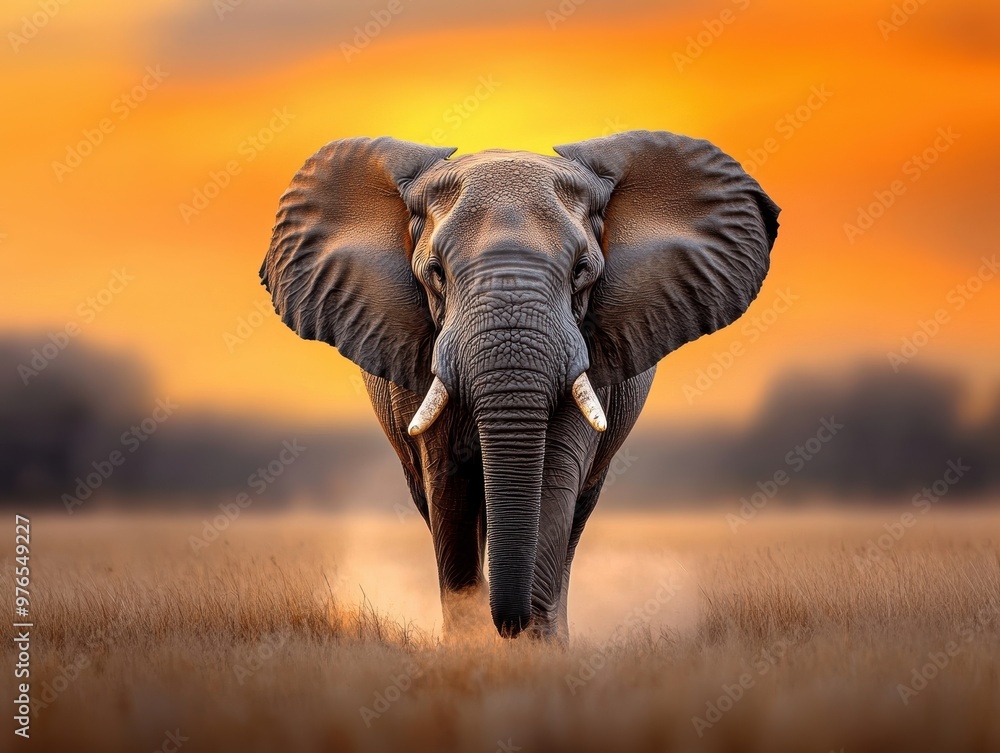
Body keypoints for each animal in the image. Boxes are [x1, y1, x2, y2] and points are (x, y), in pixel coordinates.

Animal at [259, 130, 779, 641]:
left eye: (582, 271)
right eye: (436, 273)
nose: (508, 625)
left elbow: (555, 476)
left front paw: (535, 648)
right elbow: (447, 483)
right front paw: (472, 647)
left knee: (575, 516)